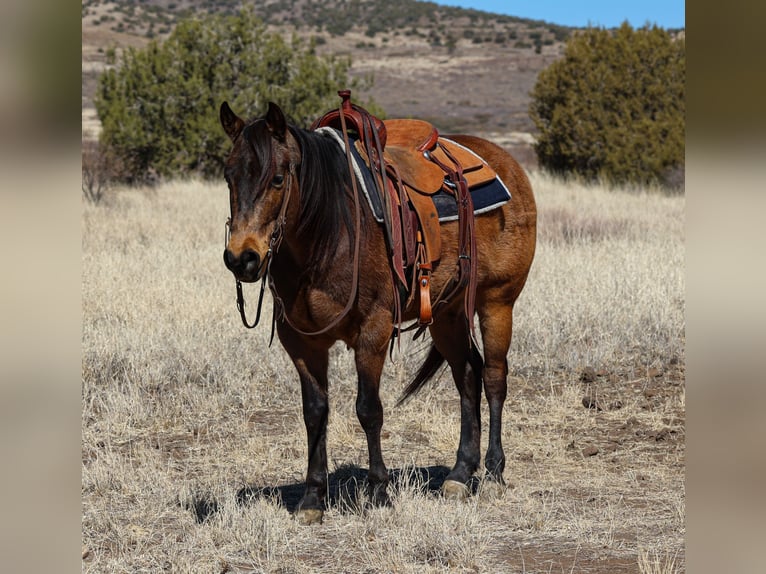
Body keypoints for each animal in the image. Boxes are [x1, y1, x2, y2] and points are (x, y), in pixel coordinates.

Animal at [219, 100, 536, 528]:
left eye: (278, 179)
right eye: (228, 177)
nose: (242, 259)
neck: (330, 230)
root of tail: (508, 164)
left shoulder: (373, 332)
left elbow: (369, 410)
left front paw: (379, 492)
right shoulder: (301, 342)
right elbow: (314, 412)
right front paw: (313, 497)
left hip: (497, 303)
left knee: (493, 378)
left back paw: (494, 472)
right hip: (449, 316)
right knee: (467, 376)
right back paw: (459, 474)